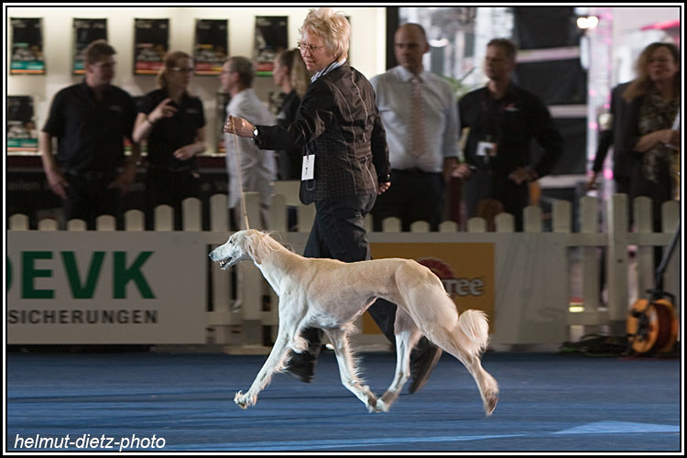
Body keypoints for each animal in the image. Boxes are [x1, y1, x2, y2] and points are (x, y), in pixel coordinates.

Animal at [210, 229, 500, 416]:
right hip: (403, 327)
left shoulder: (287, 332)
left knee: (470, 359)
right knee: (403, 371)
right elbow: (347, 378)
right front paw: (368, 398)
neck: (288, 268)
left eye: (231, 240)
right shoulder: (335, 331)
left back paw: (489, 398)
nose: (212, 254)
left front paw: (246, 398)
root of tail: (427, 271)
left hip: (430, 324)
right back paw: (384, 401)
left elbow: (266, 368)